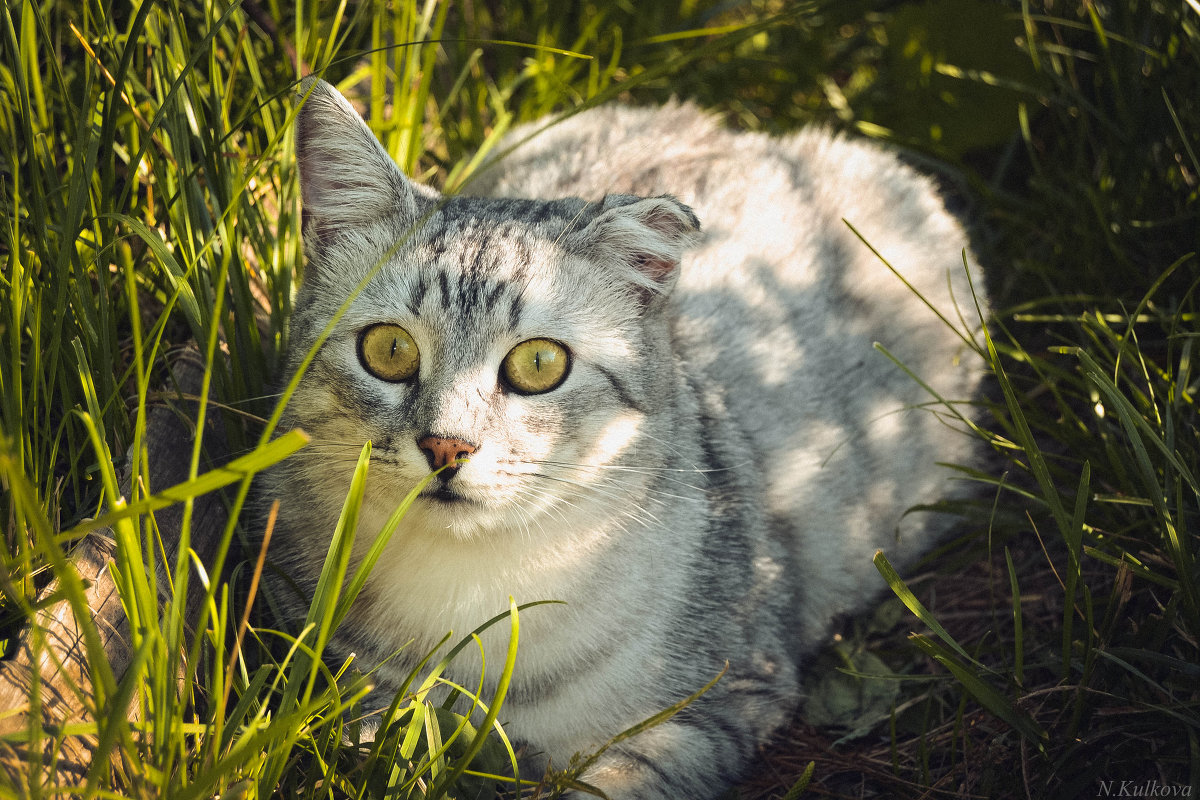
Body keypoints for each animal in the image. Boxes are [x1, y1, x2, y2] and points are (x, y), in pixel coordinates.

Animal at [267, 76, 988, 800]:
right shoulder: (340, 678)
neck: (475, 595)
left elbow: (614, 782)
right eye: (389, 350)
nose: (447, 447)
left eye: (538, 364)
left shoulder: (718, 704)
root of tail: (739, 128)